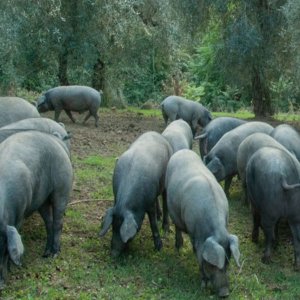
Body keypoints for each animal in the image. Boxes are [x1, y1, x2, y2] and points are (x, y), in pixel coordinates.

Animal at [0, 130, 72, 288]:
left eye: (2, 249)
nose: (0, 284)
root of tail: (57, 141)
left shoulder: (19, 214)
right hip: (42, 200)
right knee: (49, 223)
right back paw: (45, 253)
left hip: (62, 187)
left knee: (58, 222)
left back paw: (54, 254)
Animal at [166, 150, 241, 298]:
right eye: (212, 265)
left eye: (228, 262)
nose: (225, 293)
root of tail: (182, 151)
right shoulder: (195, 236)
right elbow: (199, 255)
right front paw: (203, 286)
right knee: (177, 226)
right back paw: (178, 247)